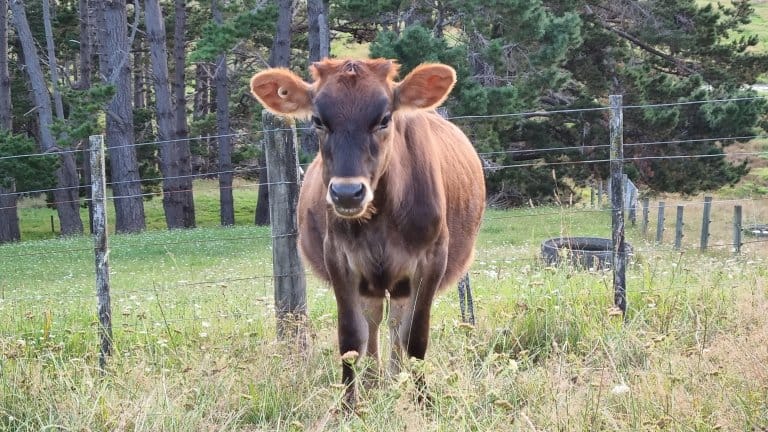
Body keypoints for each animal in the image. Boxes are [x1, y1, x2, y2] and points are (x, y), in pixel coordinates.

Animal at [249, 59, 484, 406]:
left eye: (384, 119)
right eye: (318, 120)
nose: (347, 193)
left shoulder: (433, 258)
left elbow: (415, 336)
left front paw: (423, 401)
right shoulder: (337, 257)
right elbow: (350, 337)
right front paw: (350, 406)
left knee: (396, 323)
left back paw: (396, 378)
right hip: (371, 280)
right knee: (373, 321)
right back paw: (375, 383)